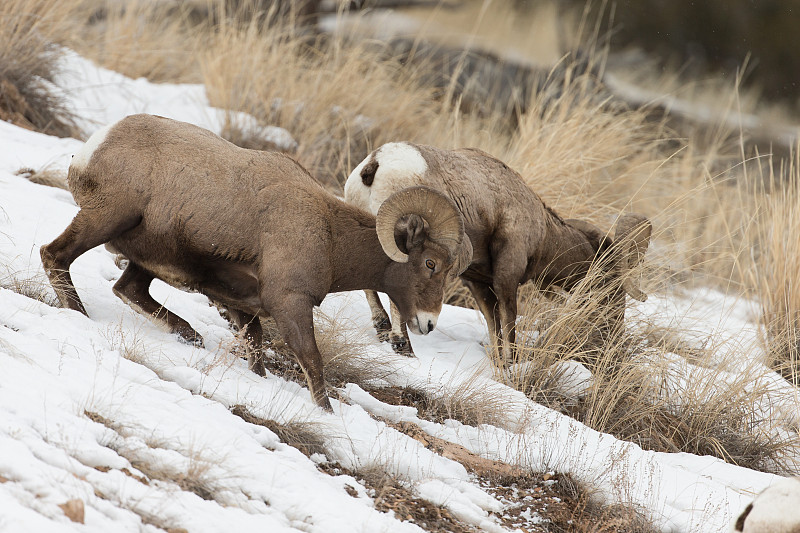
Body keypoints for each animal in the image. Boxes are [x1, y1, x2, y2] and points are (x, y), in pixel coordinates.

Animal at [40, 115, 468, 408]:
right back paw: (80, 314)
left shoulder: (245, 306)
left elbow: (257, 355)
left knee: (128, 290)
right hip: (106, 218)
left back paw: (189, 335)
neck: (330, 235)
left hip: (143, 258)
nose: (428, 323)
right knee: (55, 255)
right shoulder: (290, 304)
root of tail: (95, 146)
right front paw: (325, 415)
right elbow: (313, 364)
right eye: (431, 264)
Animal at [344, 141, 648, 362]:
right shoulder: (506, 276)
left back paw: (383, 329)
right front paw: (512, 364)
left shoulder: (477, 282)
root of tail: (375, 165)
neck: (541, 232)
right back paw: (403, 347)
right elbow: (508, 322)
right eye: (613, 288)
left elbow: (494, 327)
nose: (613, 331)